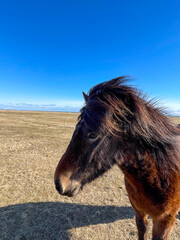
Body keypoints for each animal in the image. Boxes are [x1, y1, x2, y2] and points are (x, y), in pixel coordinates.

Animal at [54, 77, 180, 240]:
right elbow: (142, 229)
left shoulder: (165, 221)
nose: (58, 183)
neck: (160, 174)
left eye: (93, 134)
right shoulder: (138, 211)